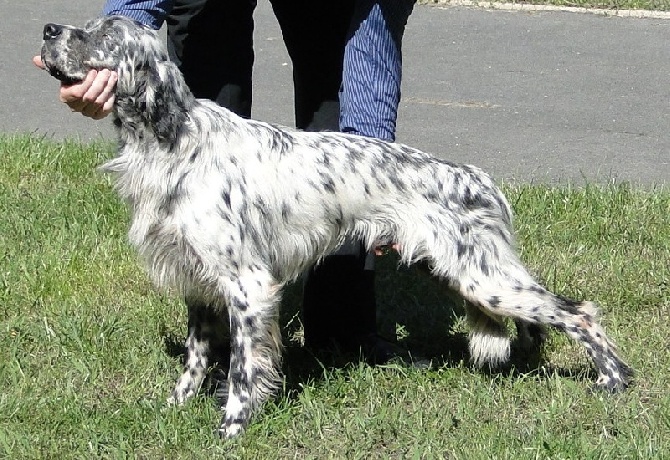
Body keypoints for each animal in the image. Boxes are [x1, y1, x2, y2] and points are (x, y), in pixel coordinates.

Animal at [42, 15, 636, 438]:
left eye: (103, 34)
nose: (48, 29)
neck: (172, 141)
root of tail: (479, 177)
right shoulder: (200, 282)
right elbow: (196, 359)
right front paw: (175, 405)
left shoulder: (248, 286)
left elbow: (241, 369)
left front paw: (232, 426)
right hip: (465, 273)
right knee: (540, 322)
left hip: (483, 276)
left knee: (579, 313)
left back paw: (613, 381)